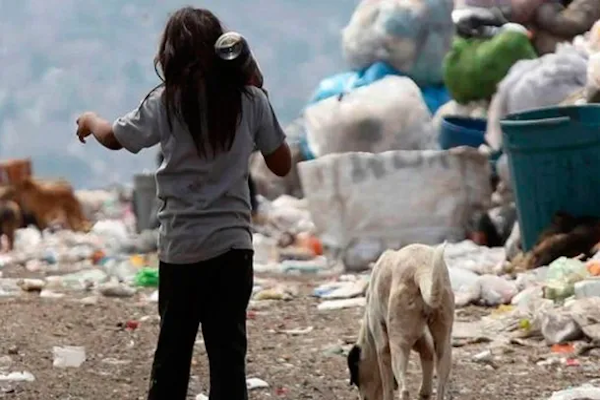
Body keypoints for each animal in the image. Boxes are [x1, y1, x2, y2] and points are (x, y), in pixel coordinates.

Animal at [346, 242, 454, 400]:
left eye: (356, 379)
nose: (361, 398)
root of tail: (421, 268)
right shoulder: (422, 341)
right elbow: (427, 362)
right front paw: (424, 392)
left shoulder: (383, 348)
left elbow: (387, 386)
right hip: (443, 341)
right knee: (441, 383)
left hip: (398, 344)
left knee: (404, 390)